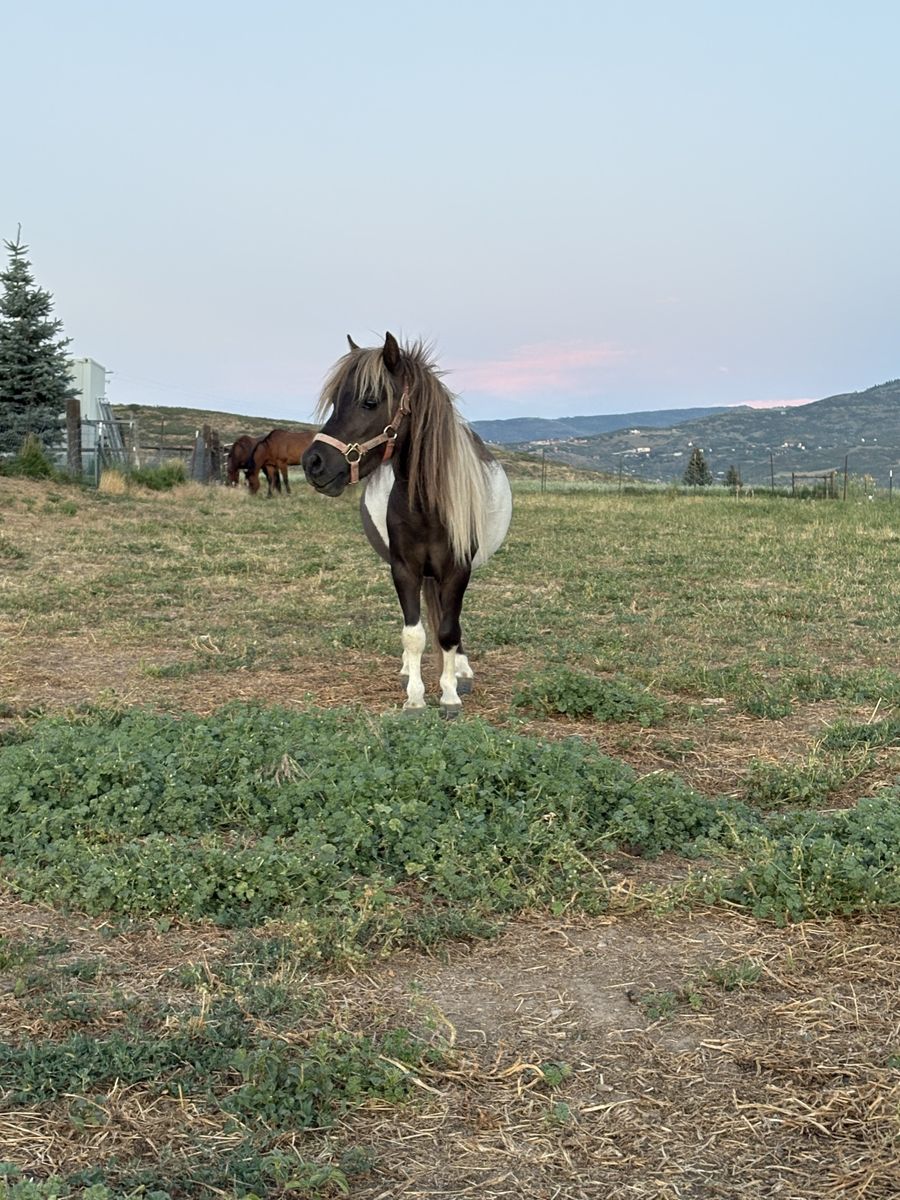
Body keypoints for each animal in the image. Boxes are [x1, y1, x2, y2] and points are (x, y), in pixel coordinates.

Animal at [301, 332, 512, 716]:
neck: (428, 508)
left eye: (370, 401)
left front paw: (450, 693)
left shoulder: (458, 570)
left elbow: (448, 631)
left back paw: (461, 671)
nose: (313, 463)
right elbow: (414, 634)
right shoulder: (404, 569)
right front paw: (415, 697)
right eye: (336, 402)